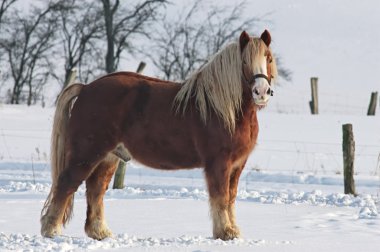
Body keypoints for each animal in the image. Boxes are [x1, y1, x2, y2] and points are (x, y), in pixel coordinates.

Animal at [41, 30, 278, 241]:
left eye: (268, 58)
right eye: (244, 61)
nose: (261, 92)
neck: (223, 109)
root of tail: (86, 88)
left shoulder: (237, 165)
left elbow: (231, 198)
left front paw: (232, 230)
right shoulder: (218, 163)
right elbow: (220, 197)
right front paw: (225, 233)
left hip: (108, 157)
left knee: (96, 190)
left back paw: (100, 232)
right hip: (86, 154)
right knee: (66, 184)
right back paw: (51, 230)